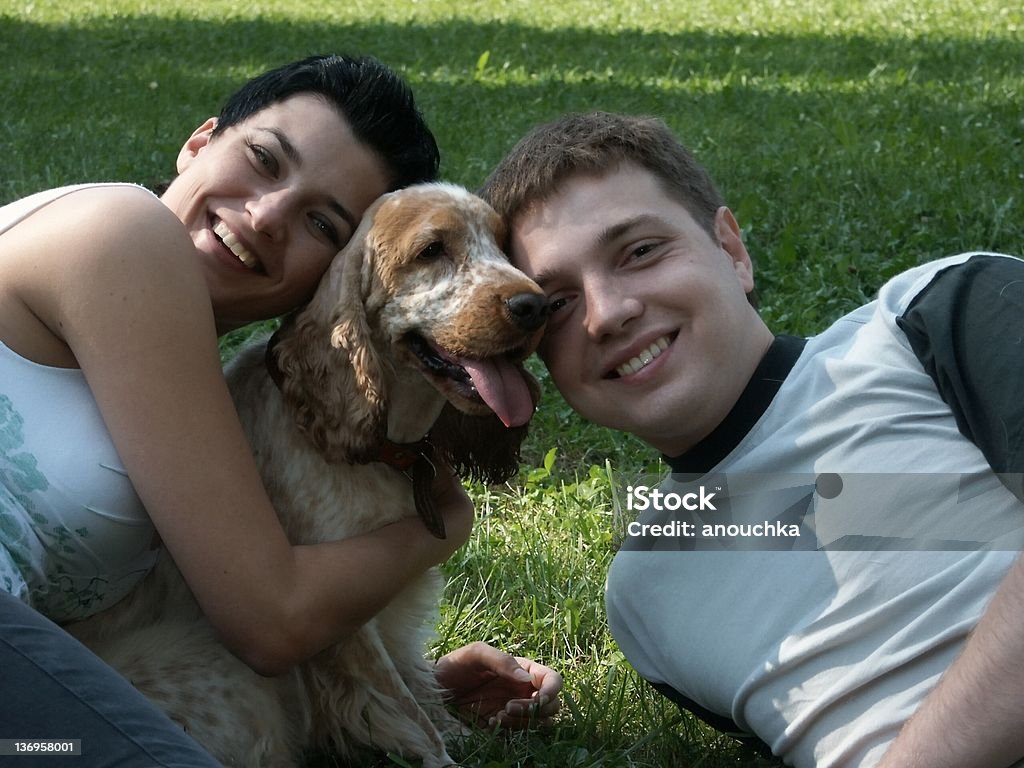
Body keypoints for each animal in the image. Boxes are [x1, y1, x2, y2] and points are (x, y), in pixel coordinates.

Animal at [68, 183, 548, 765]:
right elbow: (403, 705)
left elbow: (416, 684)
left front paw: (459, 727)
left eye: (502, 243)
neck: (383, 448)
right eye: (432, 250)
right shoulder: (336, 615)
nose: (536, 305)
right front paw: (444, 752)